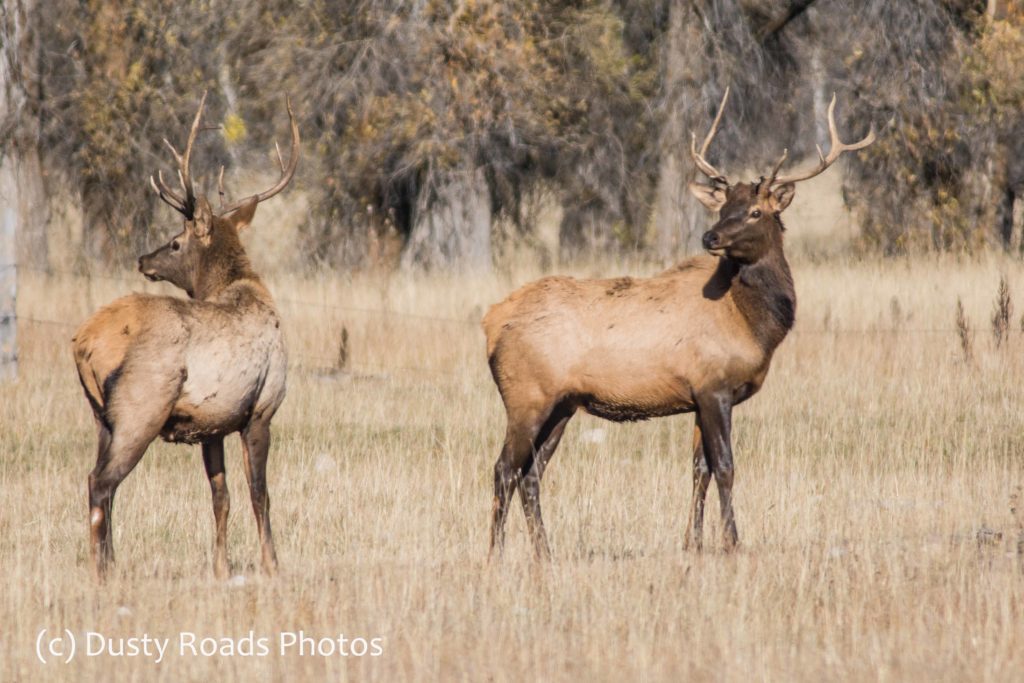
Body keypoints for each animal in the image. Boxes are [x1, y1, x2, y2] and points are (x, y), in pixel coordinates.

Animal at [71, 91, 299, 580]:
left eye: (175, 242)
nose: (143, 259)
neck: (244, 288)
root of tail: (84, 342)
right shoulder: (263, 407)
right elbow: (260, 495)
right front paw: (272, 564)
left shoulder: (213, 423)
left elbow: (221, 498)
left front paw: (221, 567)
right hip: (141, 407)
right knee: (101, 483)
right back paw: (102, 572)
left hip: (101, 416)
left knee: (99, 481)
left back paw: (111, 564)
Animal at [483, 89, 874, 558]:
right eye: (724, 207)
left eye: (755, 211)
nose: (710, 237)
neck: (751, 323)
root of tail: (491, 323)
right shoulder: (713, 387)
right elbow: (725, 467)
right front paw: (732, 542)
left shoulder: (700, 397)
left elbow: (698, 470)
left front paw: (694, 542)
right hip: (527, 396)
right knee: (504, 469)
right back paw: (495, 552)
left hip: (562, 404)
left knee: (531, 473)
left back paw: (545, 551)